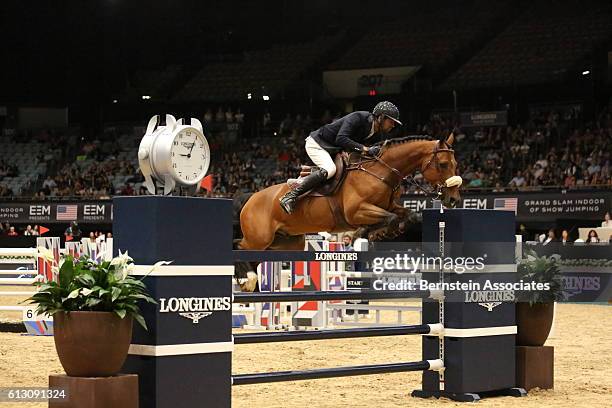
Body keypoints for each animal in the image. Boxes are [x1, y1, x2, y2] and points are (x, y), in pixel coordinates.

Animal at [233, 133, 460, 290]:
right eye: (443, 164)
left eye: (456, 164)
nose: (453, 199)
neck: (381, 171)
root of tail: (250, 198)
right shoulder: (357, 211)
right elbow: (390, 218)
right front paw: (366, 234)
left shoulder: (388, 206)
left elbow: (406, 215)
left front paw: (373, 233)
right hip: (260, 238)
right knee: (238, 246)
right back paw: (247, 278)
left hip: (284, 243)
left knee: (253, 256)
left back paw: (247, 282)